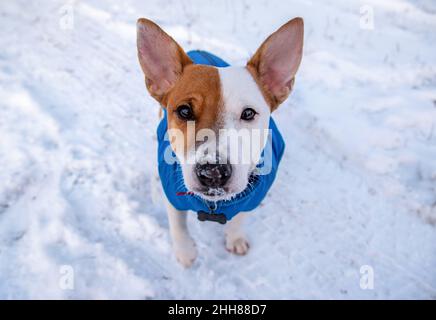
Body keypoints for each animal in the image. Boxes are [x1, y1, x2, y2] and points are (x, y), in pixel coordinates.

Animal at [136, 18, 304, 268]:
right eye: (184, 111)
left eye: (248, 113)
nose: (213, 171)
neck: (214, 206)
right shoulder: (174, 195)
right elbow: (178, 225)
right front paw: (185, 252)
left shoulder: (249, 197)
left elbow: (239, 218)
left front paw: (235, 238)